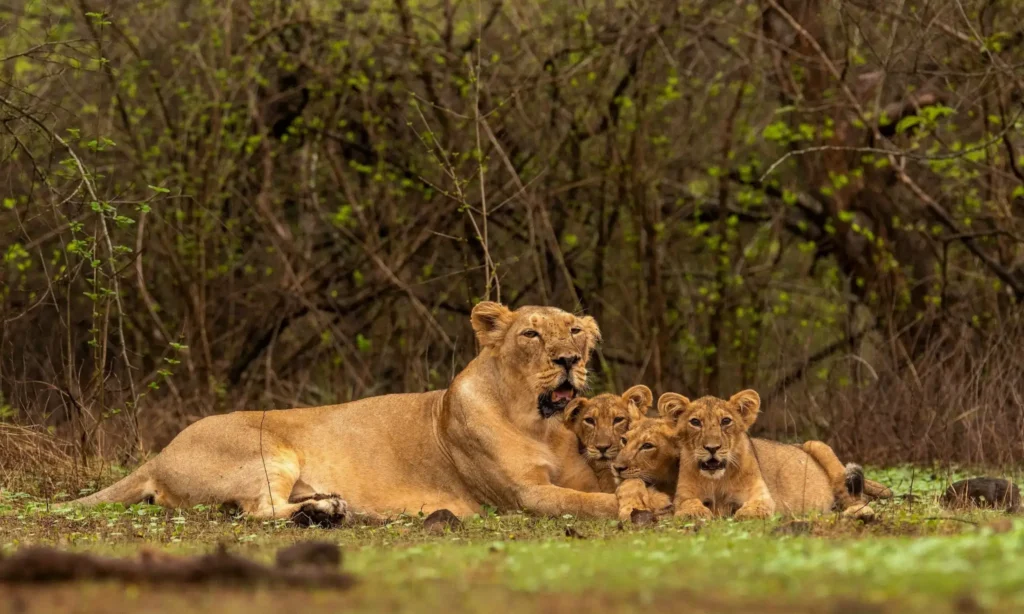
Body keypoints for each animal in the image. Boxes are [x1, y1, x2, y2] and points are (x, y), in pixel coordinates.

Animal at [70, 302, 623, 522]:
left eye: (575, 330)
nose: (568, 360)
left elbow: (601, 489)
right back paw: (329, 512)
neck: (539, 425)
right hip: (268, 452)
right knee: (257, 511)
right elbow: (590, 502)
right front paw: (635, 508)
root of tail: (161, 453)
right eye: (531, 334)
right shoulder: (523, 496)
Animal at [657, 390, 889, 520]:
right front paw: (697, 512)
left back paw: (859, 513)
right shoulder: (684, 495)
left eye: (726, 421)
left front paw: (743, 513)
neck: (717, 480)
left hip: (819, 447)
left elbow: (755, 507)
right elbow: (687, 504)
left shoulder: (762, 495)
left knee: (856, 498)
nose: (712, 448)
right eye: (695, 422)